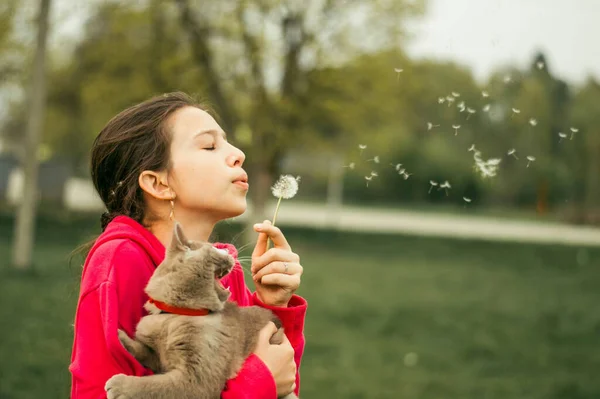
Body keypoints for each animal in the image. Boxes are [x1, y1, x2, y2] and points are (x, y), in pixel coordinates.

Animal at [106, 223, 300, 398]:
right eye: (214, 248)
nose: (229, 251)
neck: (174, 316)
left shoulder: (197, 378)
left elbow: (156, 386)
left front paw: (119, 386)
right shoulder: (158, 357)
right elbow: (143, 351)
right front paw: (121, 338)